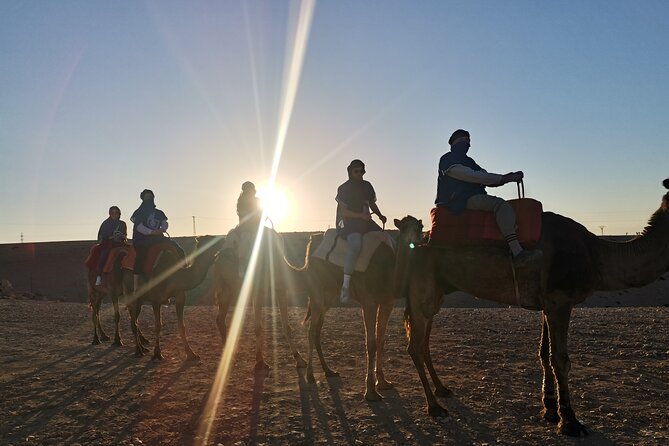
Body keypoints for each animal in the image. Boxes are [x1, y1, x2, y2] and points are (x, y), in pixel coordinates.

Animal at [213, 228, 306, 372]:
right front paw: (260, 362)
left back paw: (230, 356)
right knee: (220, 318)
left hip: (227, 288)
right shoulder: (258, 289)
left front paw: (300, 360)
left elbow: (287, 326)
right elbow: (258, 327)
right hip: (227, 286)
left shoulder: (280, 289)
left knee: (220, 319)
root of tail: (219, 256)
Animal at [302, 232, 396, 402]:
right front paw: (371, 392)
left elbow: (381, 339)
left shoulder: (388, 302)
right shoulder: (369, 303)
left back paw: (329, 370)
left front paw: (383, 382)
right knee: (311, 331)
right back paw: (310, 375)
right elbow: (371, 343)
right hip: (317, 292)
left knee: (318, 330)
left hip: (329, 294)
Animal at [394, 177, 668, 436]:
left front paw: (550, 409)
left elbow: (544, 353)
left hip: (437, 291)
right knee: (414, 345)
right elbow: (561, 359)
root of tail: (418, 243)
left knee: (424, 341)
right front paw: (570, 422)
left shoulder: (549, 303)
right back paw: (434, 406)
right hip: (423, 287)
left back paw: (442, 389)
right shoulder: (561, 301)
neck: (596, 256)